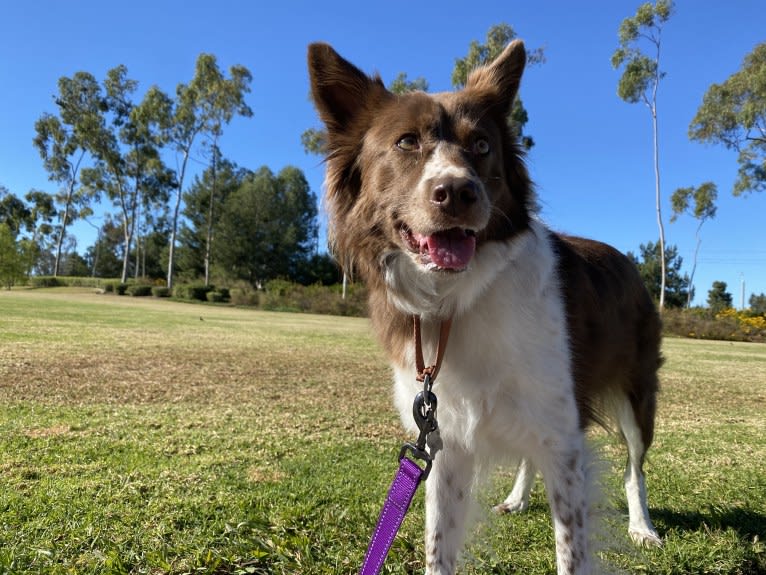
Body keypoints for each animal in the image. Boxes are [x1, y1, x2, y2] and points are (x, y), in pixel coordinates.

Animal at [308, 40, 664, 575]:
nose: (458, 191)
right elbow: (438, 546)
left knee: (634, 467)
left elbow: (572, 548)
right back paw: (518, 498)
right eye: (406, 142)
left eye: (480, 146)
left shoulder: (565, 440)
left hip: (636, 395)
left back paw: (642, 526)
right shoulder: (444, 441)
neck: (453, 298)